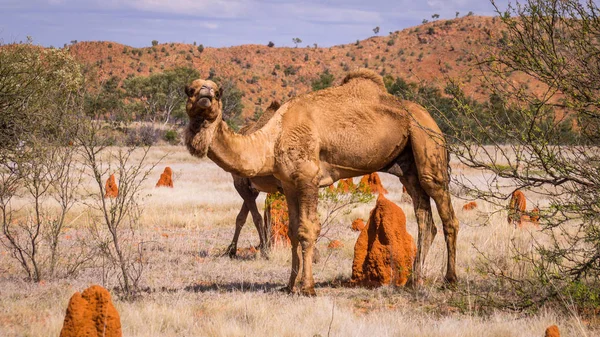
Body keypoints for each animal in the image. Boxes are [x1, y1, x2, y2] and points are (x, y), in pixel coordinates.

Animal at [186, 69, 460, 294]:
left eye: (218, 92)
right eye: (189, 89)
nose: (205, 94)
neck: (271, 140)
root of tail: (428, 116)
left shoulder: (308, 178)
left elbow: (307, 229)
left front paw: (307, 288)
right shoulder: (288, 184)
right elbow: (293, 231)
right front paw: (289, 286)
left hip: (428, 144)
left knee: (447, 215)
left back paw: (450, 280)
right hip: (408, 166)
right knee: (425, 219)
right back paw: (414, 281)